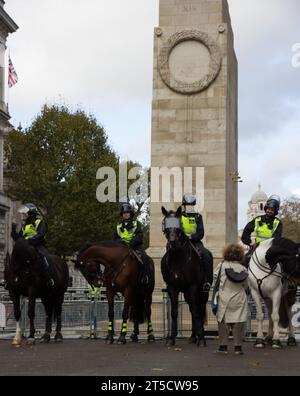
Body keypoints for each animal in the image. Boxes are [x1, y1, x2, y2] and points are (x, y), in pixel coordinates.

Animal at [161, 207, 212, 346]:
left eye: (179, 224)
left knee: (199, 309)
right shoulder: (172, 287)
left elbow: (196, 311)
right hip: (188, 294)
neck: (177, 259)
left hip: (202, 292)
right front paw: (171, 338)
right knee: (191, 309)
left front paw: (202, 339)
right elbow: (174, 312)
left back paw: (199, 336)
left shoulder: (193, 286)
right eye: (165, 223)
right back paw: (193, 336)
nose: (172, 242)